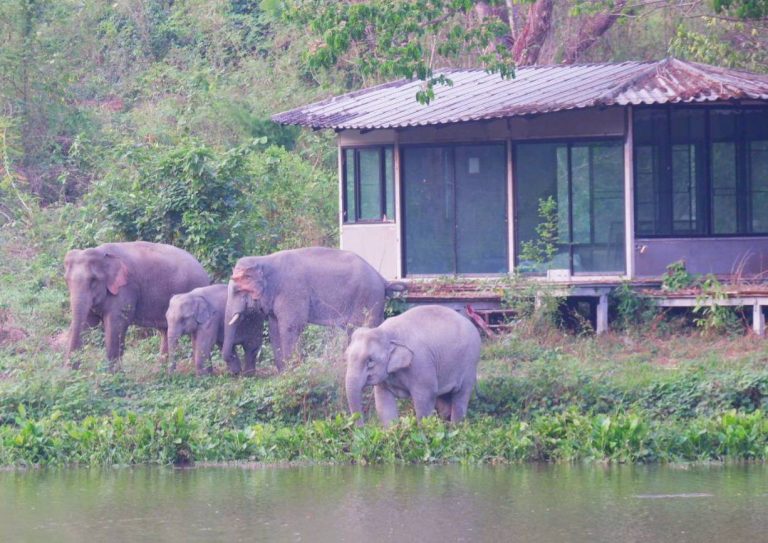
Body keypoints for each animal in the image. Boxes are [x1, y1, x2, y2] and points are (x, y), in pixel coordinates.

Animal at [64, 241, 210, 370]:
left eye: (93, 280)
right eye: (67, 280)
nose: (71, 370)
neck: (102, 253)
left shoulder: (126, 288)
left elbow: (116, 325)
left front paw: (114, 376)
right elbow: (87, 322)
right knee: (166, 330)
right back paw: (160, 371)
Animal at [223, 247, 405, 373]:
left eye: (237, 291)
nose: (236, 371)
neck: (264, 260)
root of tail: (382, 278)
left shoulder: (292, 292)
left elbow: (290, 327)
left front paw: (292, 373)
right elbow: (275, 329)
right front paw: (283, 373)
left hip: (368, 298)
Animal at [344, 304, 481, 427]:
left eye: (370, 361)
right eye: (346, 356)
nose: (362, 429)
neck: (387, 332)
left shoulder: (420, 363)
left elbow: (425, 397)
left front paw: (424, 433)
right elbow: (383, 401)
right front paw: (391, 432)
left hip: (469, 362)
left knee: (461, 395)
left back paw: (455, 428)